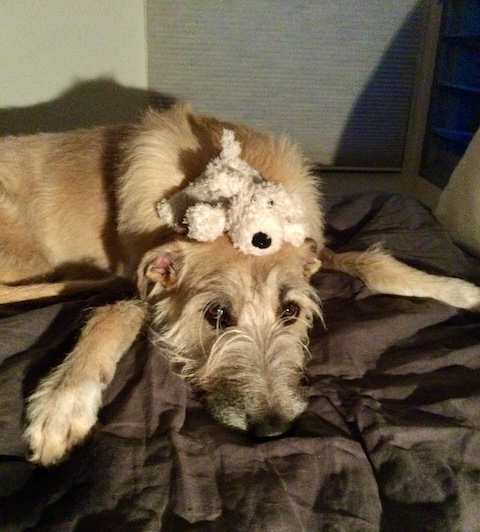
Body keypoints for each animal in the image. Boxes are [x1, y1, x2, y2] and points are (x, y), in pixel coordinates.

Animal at [1, 104, 479, 466]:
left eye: (290, 311)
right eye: (216, 314)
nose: (273, 430)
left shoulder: (312, 245)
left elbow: (368, 262)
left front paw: (458, 289)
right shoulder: (141, 280)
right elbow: (118, 310)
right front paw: (65, 398)